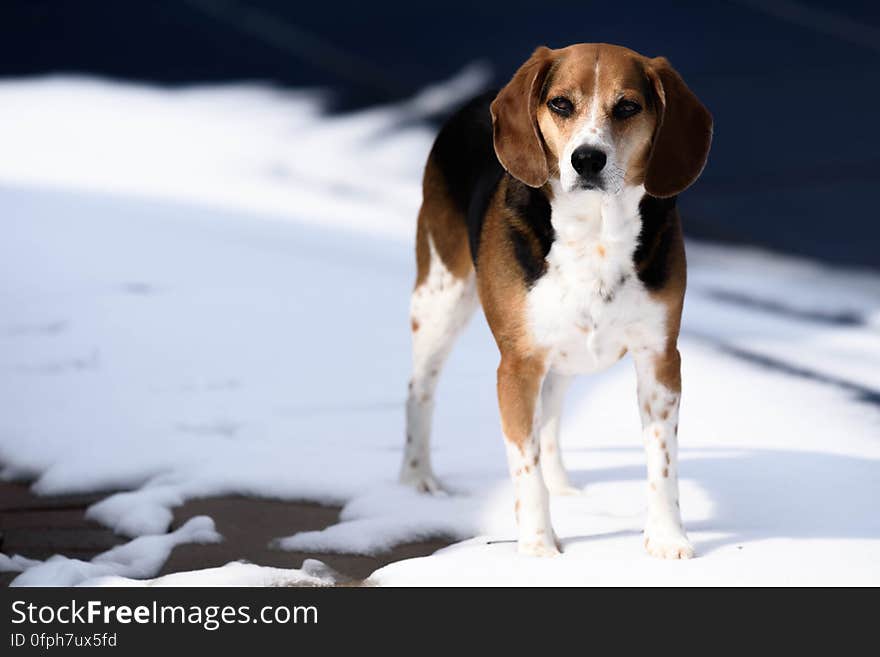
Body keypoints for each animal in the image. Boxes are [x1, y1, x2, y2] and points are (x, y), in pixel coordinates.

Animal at [402, 43, 712, 560]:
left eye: (628, 106)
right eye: (561, 104)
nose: (587, 159)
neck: (596, 232)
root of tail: (481, 99)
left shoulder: (660, 360)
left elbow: (663, 463)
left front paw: (668, 539)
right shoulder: (518, 365)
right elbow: (525, 469)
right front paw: (539, 548)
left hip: (565, 353)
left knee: (550, 416)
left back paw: (564, 485)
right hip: (440, 300)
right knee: (420, 390)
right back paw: (416, 477)